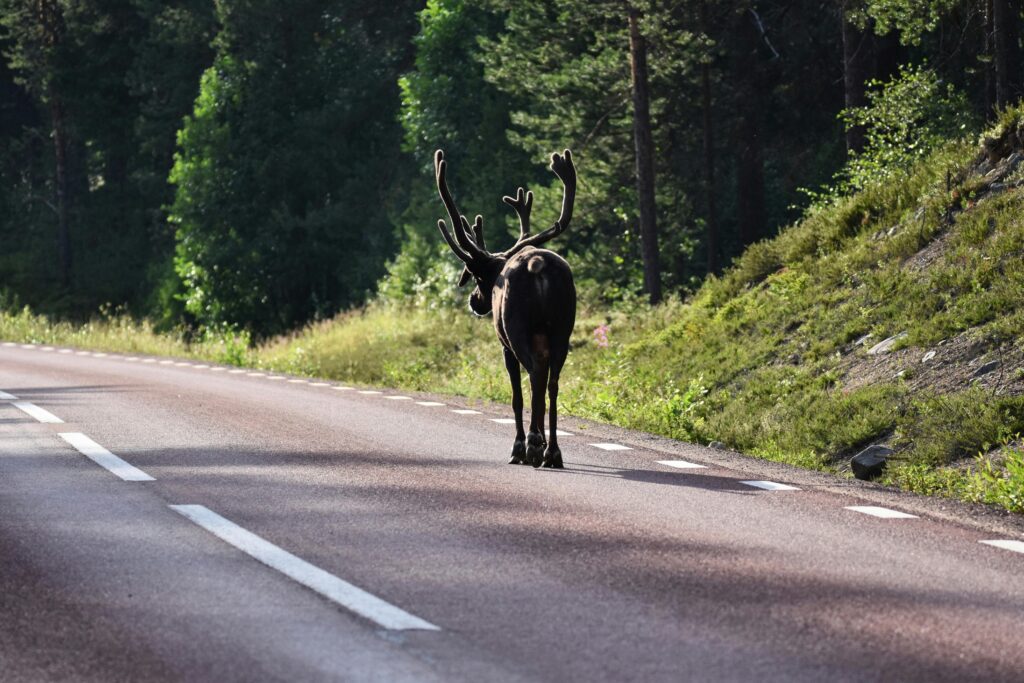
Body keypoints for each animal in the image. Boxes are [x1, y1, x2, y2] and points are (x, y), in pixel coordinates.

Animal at [434, 148, 577, 469]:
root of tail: (537, 265)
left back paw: (531, 447)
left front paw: (521, 446)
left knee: (533, 377)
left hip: (516, 330)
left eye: (476, 276)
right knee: (552, 384)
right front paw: (543, 444)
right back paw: (553, 452)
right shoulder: (544, 344)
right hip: (562, 330)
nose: (474, 300)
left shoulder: (504, 346)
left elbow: (517, 397)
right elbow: (541, 389)